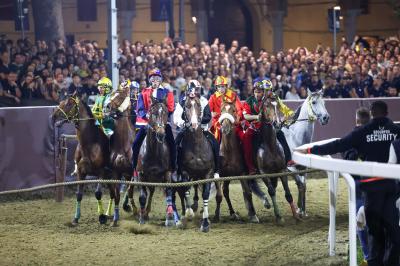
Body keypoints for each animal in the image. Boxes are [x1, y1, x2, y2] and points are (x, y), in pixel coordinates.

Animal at [51, 96, 114, 225]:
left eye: (68, 104)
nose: (54, 116)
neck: (90, 144)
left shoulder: (101, 172)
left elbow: (98, 193)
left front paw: (101, 217)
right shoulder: (81, 172)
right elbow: (79, 194)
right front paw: (76, 218)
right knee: (113, 193)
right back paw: (109, 213)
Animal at [135, 97, 179, 227]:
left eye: (165, 112)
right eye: (153, 113)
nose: (160, 134)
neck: (153, 152)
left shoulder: (167, 173)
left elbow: (168, 192)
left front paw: (169, 217)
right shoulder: (141, 174)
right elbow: (142, 197)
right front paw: (141, 219)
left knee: (153, 192)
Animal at [179, 95, 216, 231]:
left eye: (199, 105)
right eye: (187, 106)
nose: (194, 124)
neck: (196, 146)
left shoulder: (208, 173)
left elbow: (205, 195)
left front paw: (205, 223)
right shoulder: (184, 172)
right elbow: (186, 190)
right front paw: (189, 213)